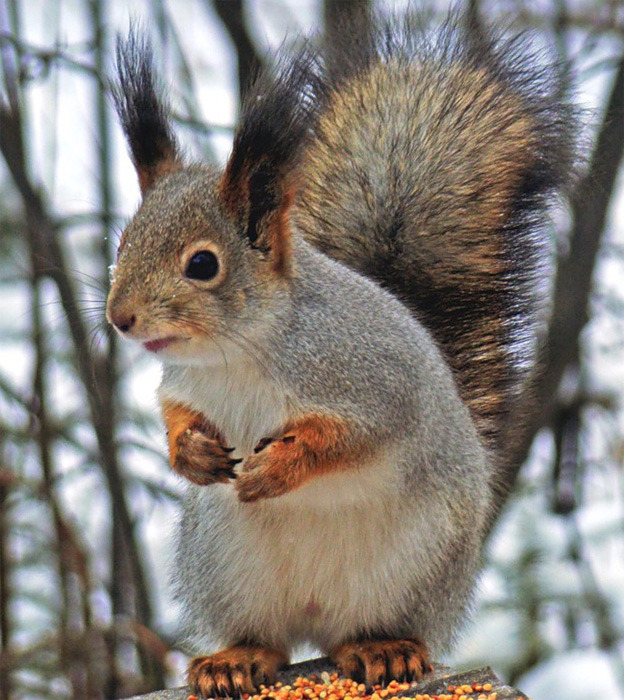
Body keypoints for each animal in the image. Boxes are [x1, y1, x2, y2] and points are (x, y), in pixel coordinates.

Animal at [105, 10, 572, 700]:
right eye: (123, 243)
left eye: (203, 264)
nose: (120, 317)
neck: (238, 352)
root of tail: (318, 617)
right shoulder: (182, 382)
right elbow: (174, 415)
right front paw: (191, 452)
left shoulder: (372, 381)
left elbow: (349, 438)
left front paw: (279, 469)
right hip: (226, 565)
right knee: (267, 639)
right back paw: (236, 659)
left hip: (416, 566)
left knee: (369, 629)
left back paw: (384, 649)